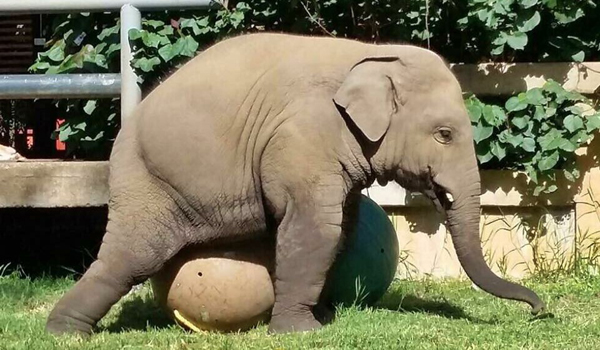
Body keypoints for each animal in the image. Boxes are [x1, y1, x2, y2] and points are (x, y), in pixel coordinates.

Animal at [47, 33, 544, 336]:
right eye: (444, 134)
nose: (538, 311)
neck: (371, 54)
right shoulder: (304, 133)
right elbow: (315, 226)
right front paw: (302, 332)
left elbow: (341, 227)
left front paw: (322, 316)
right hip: (149, 182)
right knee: (132, 258)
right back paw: (65, 332)